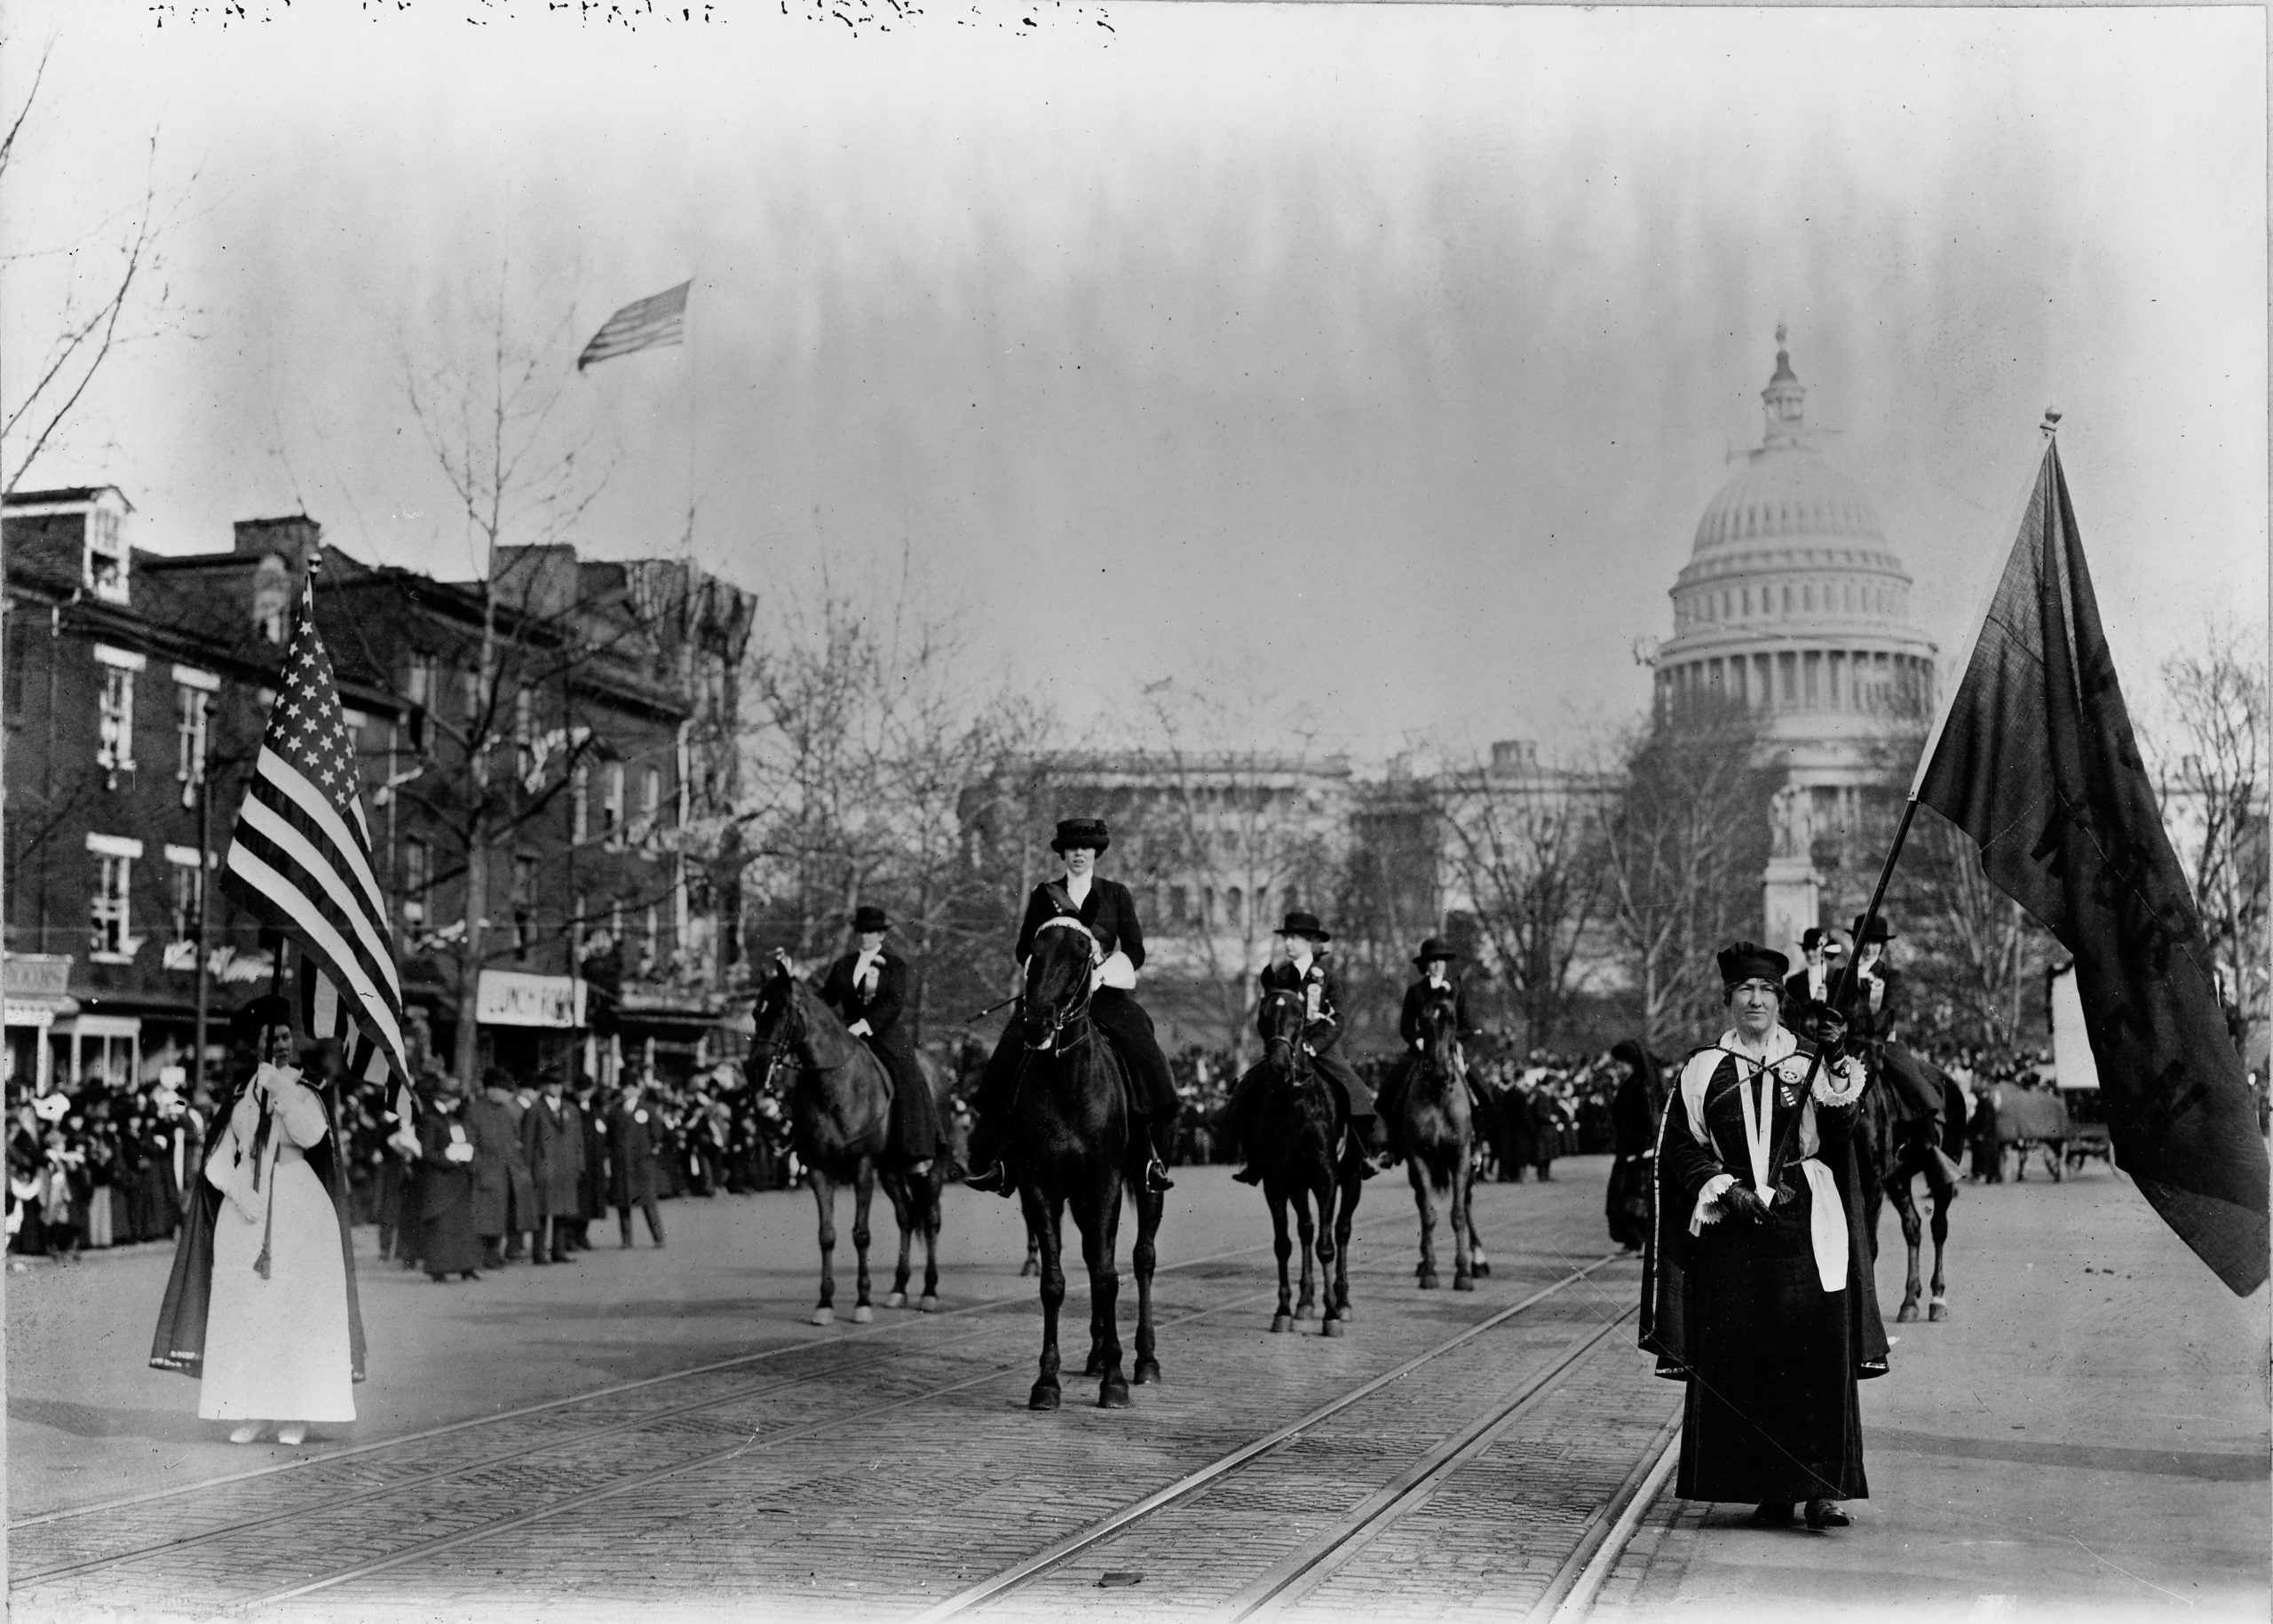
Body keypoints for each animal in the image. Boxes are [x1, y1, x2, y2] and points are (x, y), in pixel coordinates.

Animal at [749, 955, 945, 1319]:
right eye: (756, 1012)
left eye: (781, 1012)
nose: (754, 1068)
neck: (836, 1085)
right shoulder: (818, 1169)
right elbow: (827, 1235)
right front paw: (825, 1304)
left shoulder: (862, 1166)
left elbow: (861, 1233)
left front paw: (862, 1301)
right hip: (891, 1170)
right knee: (907, 1217)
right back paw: (899, 1288)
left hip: (930, 1165)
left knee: (931, 1218)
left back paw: (929, 1290)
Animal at [1009, 918, 1163, 1400]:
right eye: (1034, 952)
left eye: (1081, 955)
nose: (1036, 1023)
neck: (1068, 1081)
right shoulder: (1039, 1187)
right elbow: (1055, 1281)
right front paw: (1047, 1380)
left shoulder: (1106, 1180)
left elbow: (1108, 1275)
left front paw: (1115, 1380)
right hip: (1078, 1199)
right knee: (1093, 1253)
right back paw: (1096, 1355)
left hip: (1147, 1181)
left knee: (1142, 1257)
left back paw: (1144, 1359)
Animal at [1236, 982, 1354, 1337]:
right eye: (1262, 1013)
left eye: (1299, 1013)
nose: (1278, 1063)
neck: (1296, 1103)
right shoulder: (1277, 1182)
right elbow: (1283, 1244)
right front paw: (1284, 1310)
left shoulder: (1327, 1178)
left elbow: (1326, 1246)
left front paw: (1331, 1314)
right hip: (1298, 1185)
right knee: (1305, 1230)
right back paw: (1305, 1302)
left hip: (1351, 1180)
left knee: (1341, 1231)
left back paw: (1342, 1302)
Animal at [1373, 986, 1482, 1292]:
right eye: (1423, 1021)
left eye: (1453, 1020)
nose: (1439, 1072)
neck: (1438, 1093)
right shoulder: (1418, 1157)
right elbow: (1428, 1213)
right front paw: (1430, 1271)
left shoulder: (1460, 1156)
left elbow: (1458, 1214)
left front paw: (1463, 1273)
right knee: (1423, 1203)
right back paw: (1424, 1263)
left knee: (1467, 1203)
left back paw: (1479, 1260)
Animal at [1854, 1042, 1963, 1319]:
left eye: (1874, 1060)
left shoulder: (1873, 1181)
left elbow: (1869, 1244)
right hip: (1898, 1180)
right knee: (1913, 1226)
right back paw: (1909, 1300)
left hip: (1944, 1172)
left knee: (1939, 1226)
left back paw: (1937, 1299)